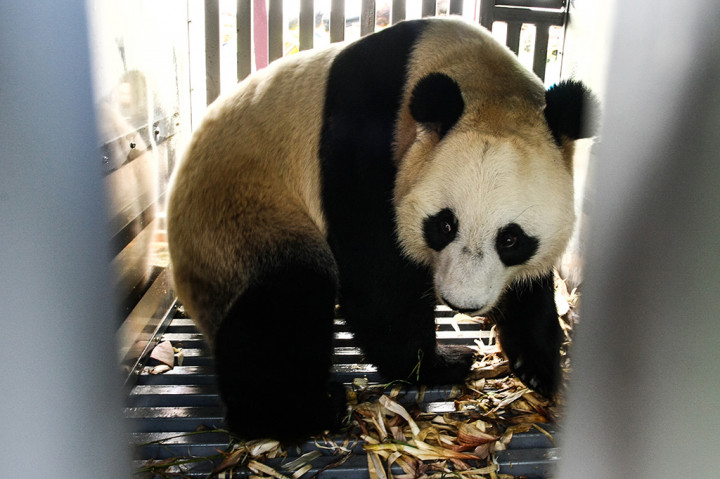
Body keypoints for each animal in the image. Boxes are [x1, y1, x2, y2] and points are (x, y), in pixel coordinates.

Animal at [167, 17, 597, 442]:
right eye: (444, 225)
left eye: (511, 239)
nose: (462, 303)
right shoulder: (363, 142)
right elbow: (376, 275)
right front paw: (440, 363)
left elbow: (531, 290)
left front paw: (540, 367)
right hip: (243, 217)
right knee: (285, 300)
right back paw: (300, 412)